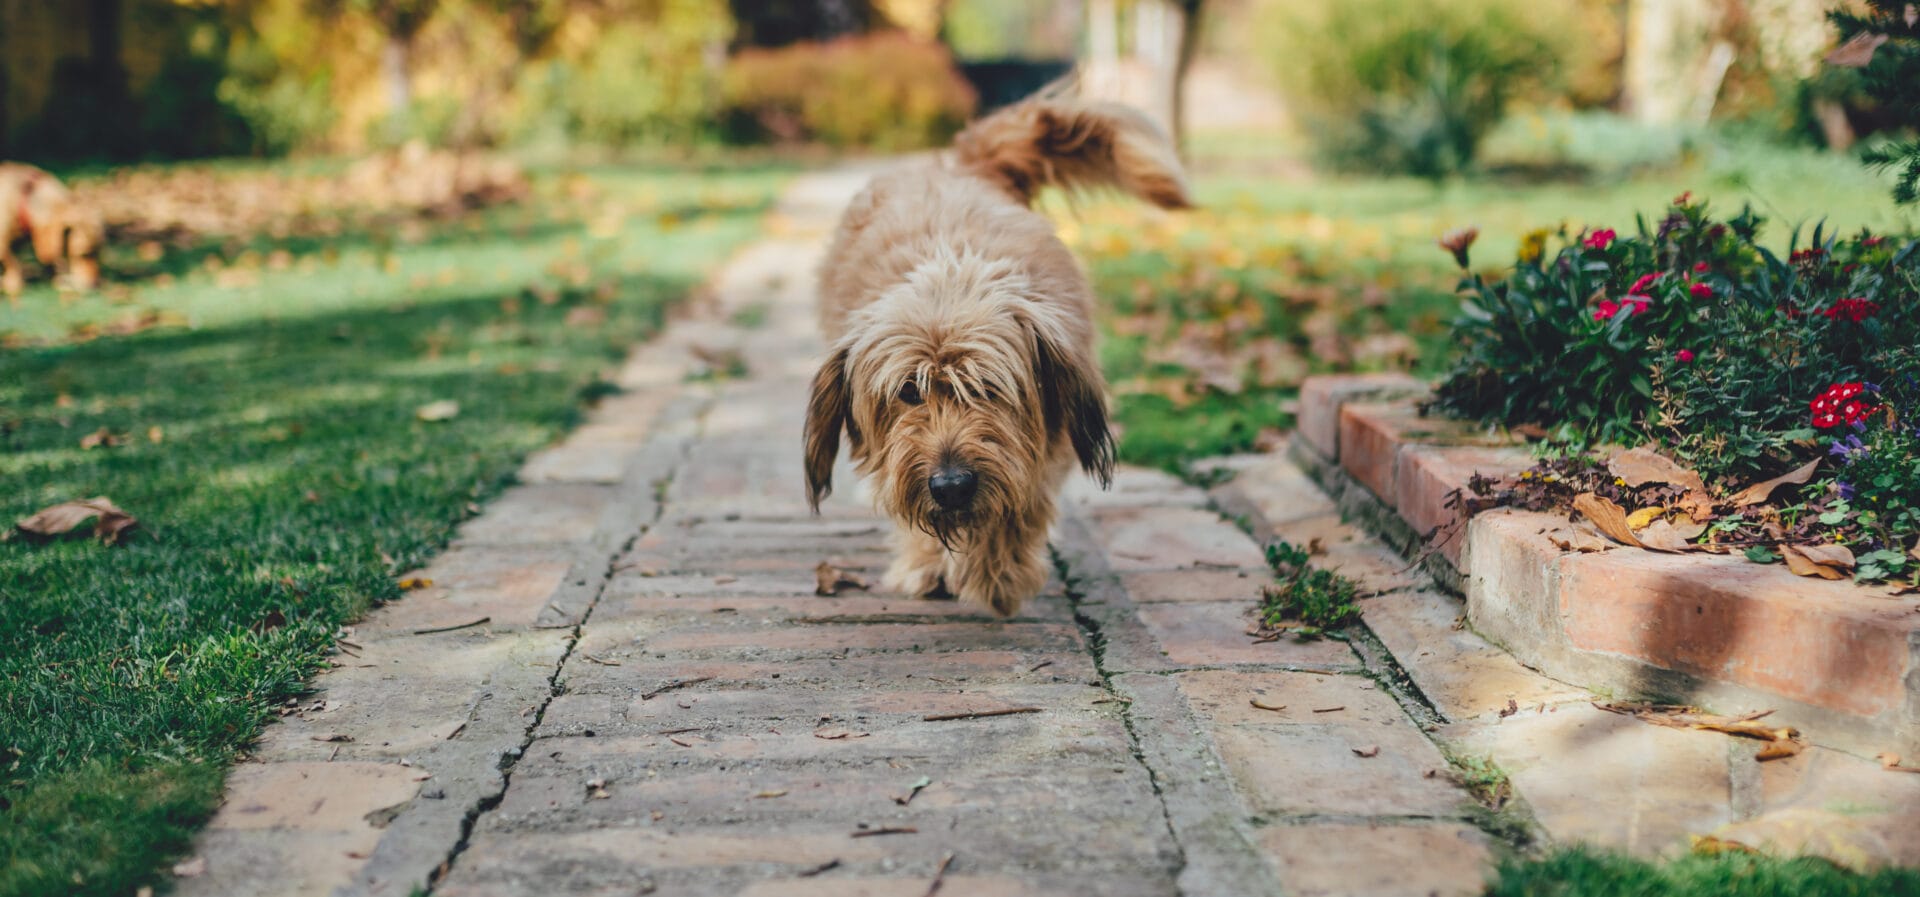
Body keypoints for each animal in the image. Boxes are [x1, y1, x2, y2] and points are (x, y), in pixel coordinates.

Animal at [0, 163, 105, 295]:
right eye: (83, 255)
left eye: (98, 254)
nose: (95, 287)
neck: (26, 192)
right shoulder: (3, 245)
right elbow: (13, 263)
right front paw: (14, 285)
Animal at [802, 99, 1190, 618]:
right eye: (908, 392)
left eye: (987, 387)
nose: (951, 486)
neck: (949, 273)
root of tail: (958, 162)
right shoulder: (902, 462)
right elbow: (907, 491)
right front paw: (932, 563)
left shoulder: (1045, 444)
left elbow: (1021, 497)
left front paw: (997, 576)